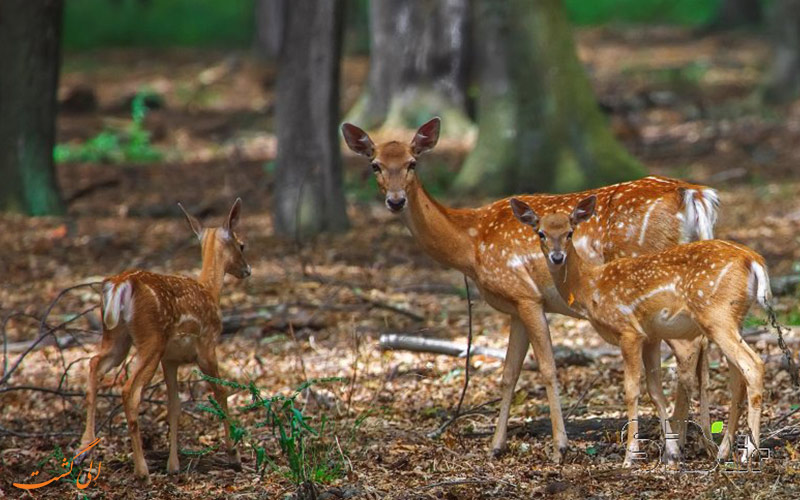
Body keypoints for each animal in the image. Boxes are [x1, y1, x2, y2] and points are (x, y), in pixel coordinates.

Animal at [77, 198, 250, 480]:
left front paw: (173, 465)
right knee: (129, 390)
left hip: (116, 336)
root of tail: (120, 284)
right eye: (242, 244)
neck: (210, 291)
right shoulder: (207, 346)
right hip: (151, 339)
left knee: (93, 365)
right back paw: (141, 470)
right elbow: (221, 392)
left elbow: (174, 406)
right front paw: (234, 455)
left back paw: (84, 448)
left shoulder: (171, 360)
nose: (248, 269)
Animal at [342, 116, 720, 460]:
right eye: (375, 165)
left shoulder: (526, 296)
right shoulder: (514, 306)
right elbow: (509, 374)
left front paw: (560, 446)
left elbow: (548, 368)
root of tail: (694, 195)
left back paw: (678, 444)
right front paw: (495, 447)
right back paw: (698, 441)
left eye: (412, 162)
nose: (395, 201)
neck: (470, 244)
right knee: (703, 348)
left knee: (690, 351)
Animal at [510, 194, 772, 464]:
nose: (557, 257)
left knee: (753, 365)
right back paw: (723, 451)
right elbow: (656, 392)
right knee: (737, 378)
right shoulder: (651, 336)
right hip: (734, 318)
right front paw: (672, 452)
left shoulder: (628, 330)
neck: (589, 288)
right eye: (540, 233)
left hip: (716, 315)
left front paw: (630, 456)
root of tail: (754, 260)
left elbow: (631, 390)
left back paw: (749, 452)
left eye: (570, 232)